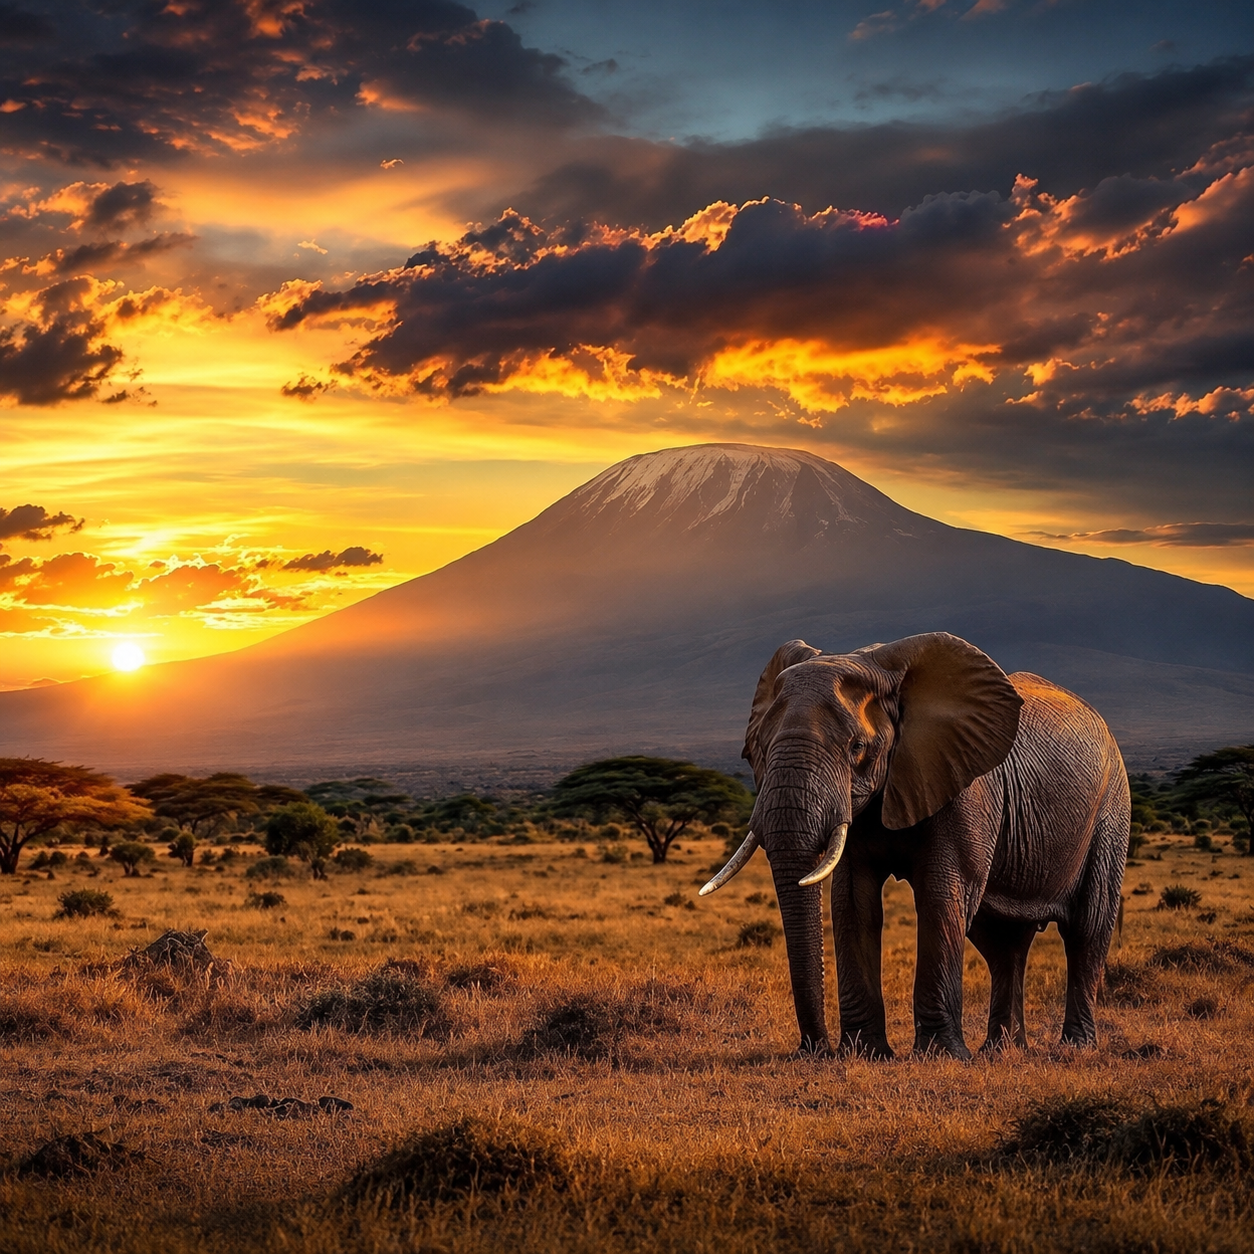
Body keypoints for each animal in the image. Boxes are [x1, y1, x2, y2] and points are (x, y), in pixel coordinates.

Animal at [701, 632, 1129, 1058]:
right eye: (758, 747)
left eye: (857, 748)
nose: (815, 1048)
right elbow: (853, 902)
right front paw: (866, 1053)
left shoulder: (965, 783)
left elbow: (940, 896)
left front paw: (941, 1055)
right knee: (1003, 943)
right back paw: (1001, 1051)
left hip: (1111, 811)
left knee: (1087, 929)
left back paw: (1075, 1048)